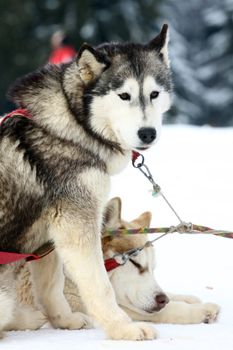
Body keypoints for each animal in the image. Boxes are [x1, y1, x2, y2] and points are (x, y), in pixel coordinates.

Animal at [0, 25, 172, 340]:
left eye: (154, 93)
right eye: (123, 95)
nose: (147, 133)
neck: (75, 128)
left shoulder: (50, 238)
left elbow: (51, 287)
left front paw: (64, 321)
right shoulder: (77, 222)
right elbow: (100, 286)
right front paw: (122, 328)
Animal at [11, 197, 218, 330]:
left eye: (153, 268)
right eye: (135, 262)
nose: (162, 299)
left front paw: (187, 298)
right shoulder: (81, 303)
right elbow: (160, 312)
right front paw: (200, 311)